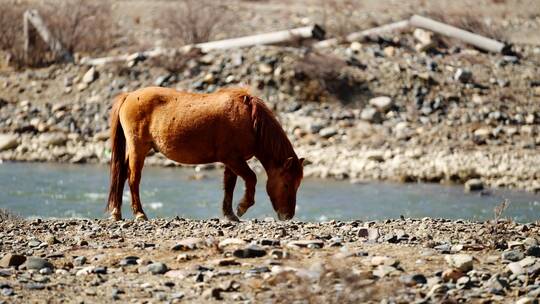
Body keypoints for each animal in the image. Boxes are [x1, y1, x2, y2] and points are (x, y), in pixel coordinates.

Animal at [105, 86, 304, 222]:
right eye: (287, 184)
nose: (288, 215)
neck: (250, 120)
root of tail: (129, 95)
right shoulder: (234, 159)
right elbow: (251, 178)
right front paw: (242, 207)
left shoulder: (232, 162)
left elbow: (229, 185)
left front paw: (230, 214)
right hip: (138, 148)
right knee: (133, 178)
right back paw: (139, 213)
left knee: (121, 174)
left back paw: (117, 213)